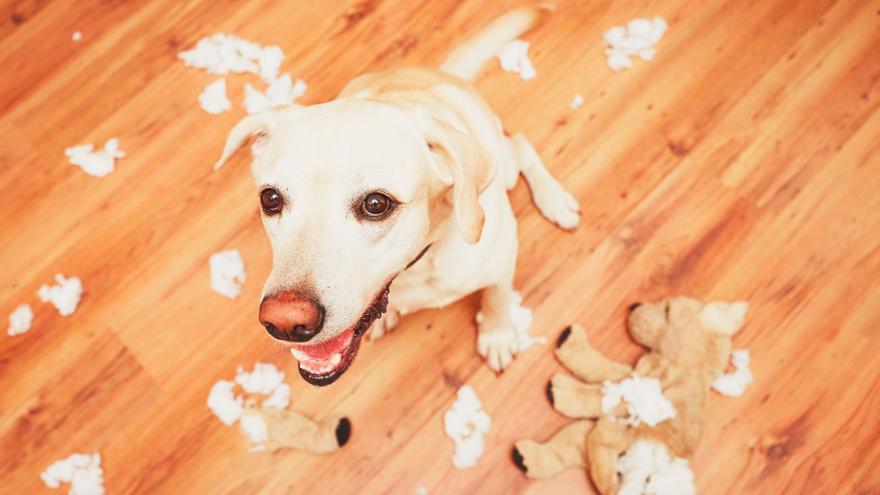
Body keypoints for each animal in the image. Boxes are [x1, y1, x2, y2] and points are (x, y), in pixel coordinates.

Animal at [217, 4, 580, 388]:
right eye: (270, 199)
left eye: (376, 204)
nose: (285, 322)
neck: (415, 265)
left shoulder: (501, 262)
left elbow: (496, 299)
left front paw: (497, 335)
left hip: (504, 166)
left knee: (522, 145)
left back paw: (555, 200)